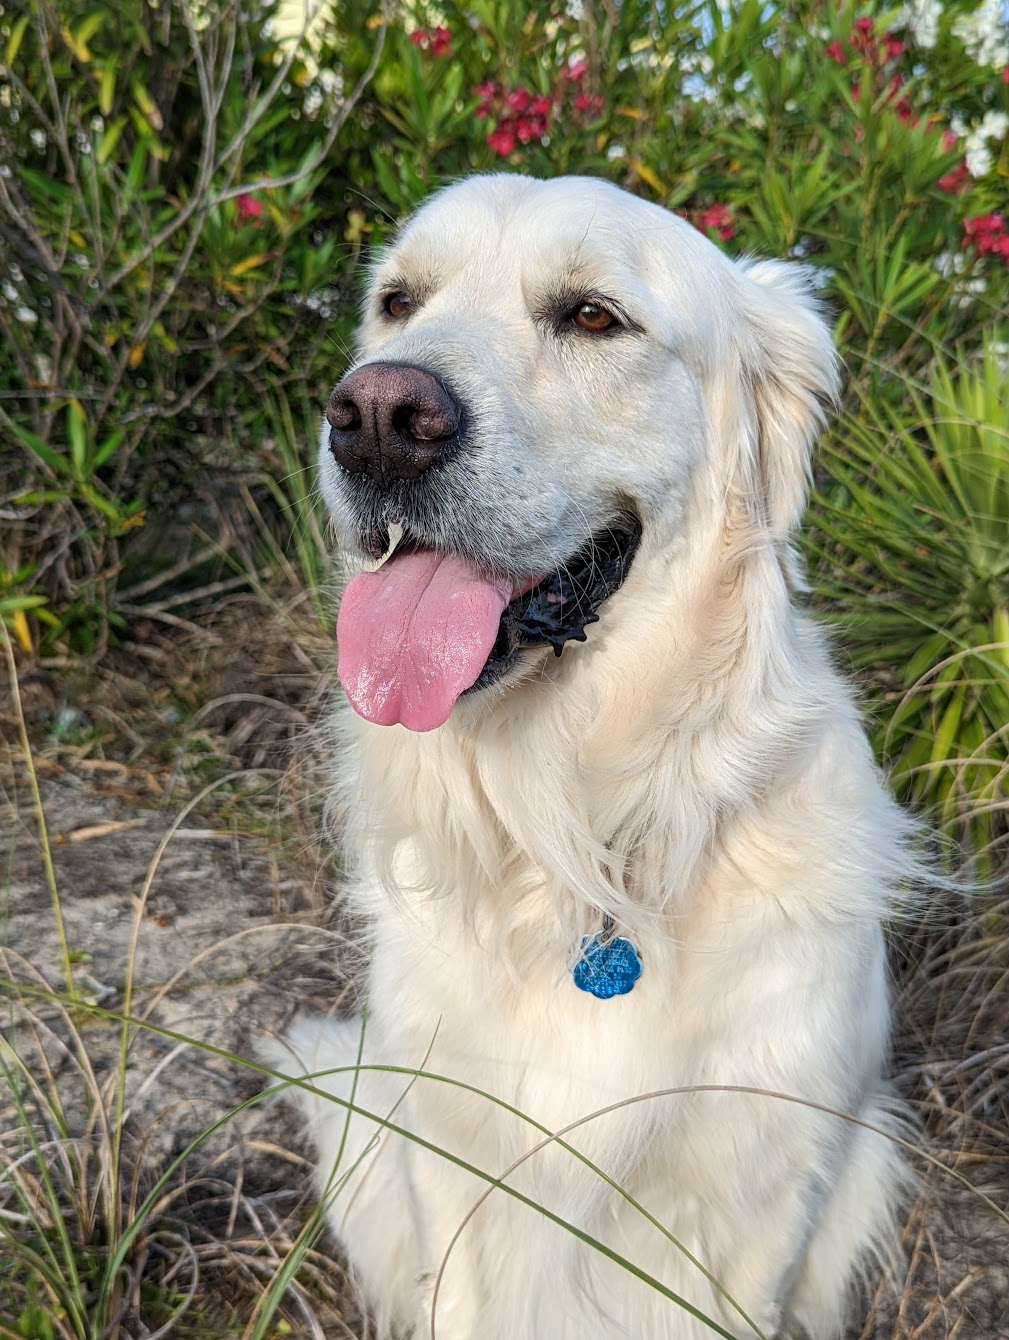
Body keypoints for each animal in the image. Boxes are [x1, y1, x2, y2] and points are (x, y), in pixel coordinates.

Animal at [272, 174, 920, 1339]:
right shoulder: (448, 1160)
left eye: (591, 316)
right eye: (398, 302)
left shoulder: (772, 1180)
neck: (580, 829)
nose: (378, 416)